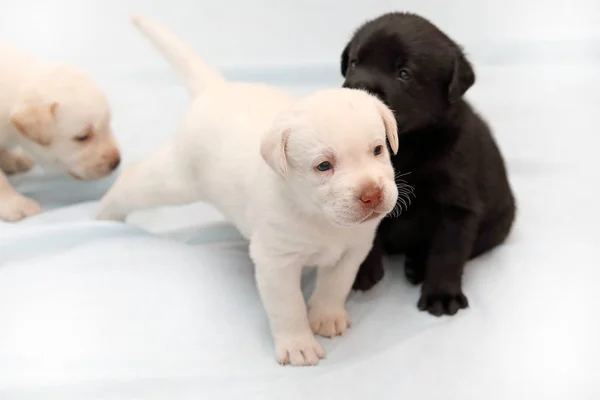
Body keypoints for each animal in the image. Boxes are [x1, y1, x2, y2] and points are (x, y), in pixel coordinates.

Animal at [97, 14, 398, 366]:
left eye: (378, 150)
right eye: (323, 166)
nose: (372, 194)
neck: (317, 216)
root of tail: (215, 89)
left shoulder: (354, 249)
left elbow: (335, 285)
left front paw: (326, 315)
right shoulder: (276, 262)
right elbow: (288, 307)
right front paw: (298, 343)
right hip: (175, 180)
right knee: (132, 182)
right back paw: (104, 215)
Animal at [342, 11, 516, 316]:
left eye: (404, 73)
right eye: (354, 62)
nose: (357, 90)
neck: (405, 148)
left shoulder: (458, 207)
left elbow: (448, 252)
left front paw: (441, 294)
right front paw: (361, 271)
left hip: (498, 225)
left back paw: (419, 265)